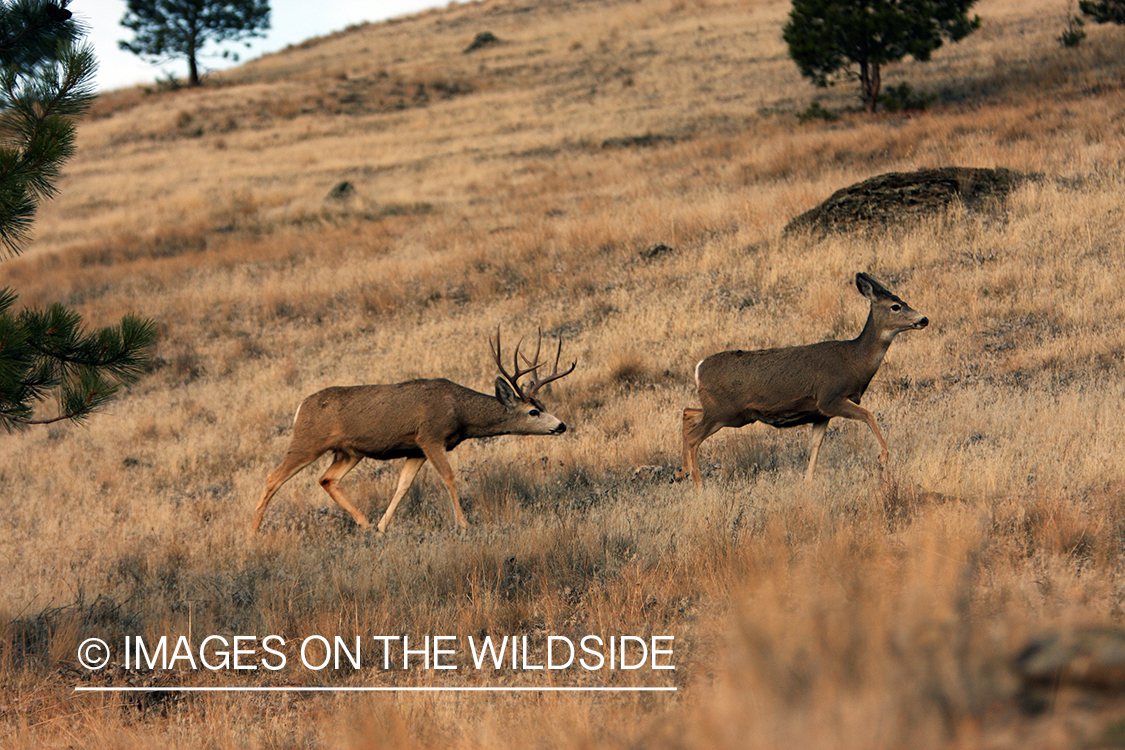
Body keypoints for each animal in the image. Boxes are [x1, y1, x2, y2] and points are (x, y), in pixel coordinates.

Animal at [250, 329, 576, 535]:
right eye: (533, 412)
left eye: (543, 406)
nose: (561, 425)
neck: (458, 410)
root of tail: (299, 408)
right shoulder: (429, 436)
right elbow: (449, 477)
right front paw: (464, 524)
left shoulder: (414, 449)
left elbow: (403, 486)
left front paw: (382, 527)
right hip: (307, 442)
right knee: (273, 478)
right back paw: (252, 534)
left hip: (348, 452)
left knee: (327, 479)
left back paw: (365, 524)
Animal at [675, 272, 928, 488]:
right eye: (896, 306)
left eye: (903, 301)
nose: (924, 319)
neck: (854, 361)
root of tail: (699, 368)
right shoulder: (830, 397)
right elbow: (868, 414)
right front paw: (883, 457)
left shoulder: (820, 413)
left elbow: (815, 445)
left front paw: (807, 481)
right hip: (724, 412)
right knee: (695, 437)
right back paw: (697, 486)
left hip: (730, 413)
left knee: (688, 413)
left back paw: (680, 473)